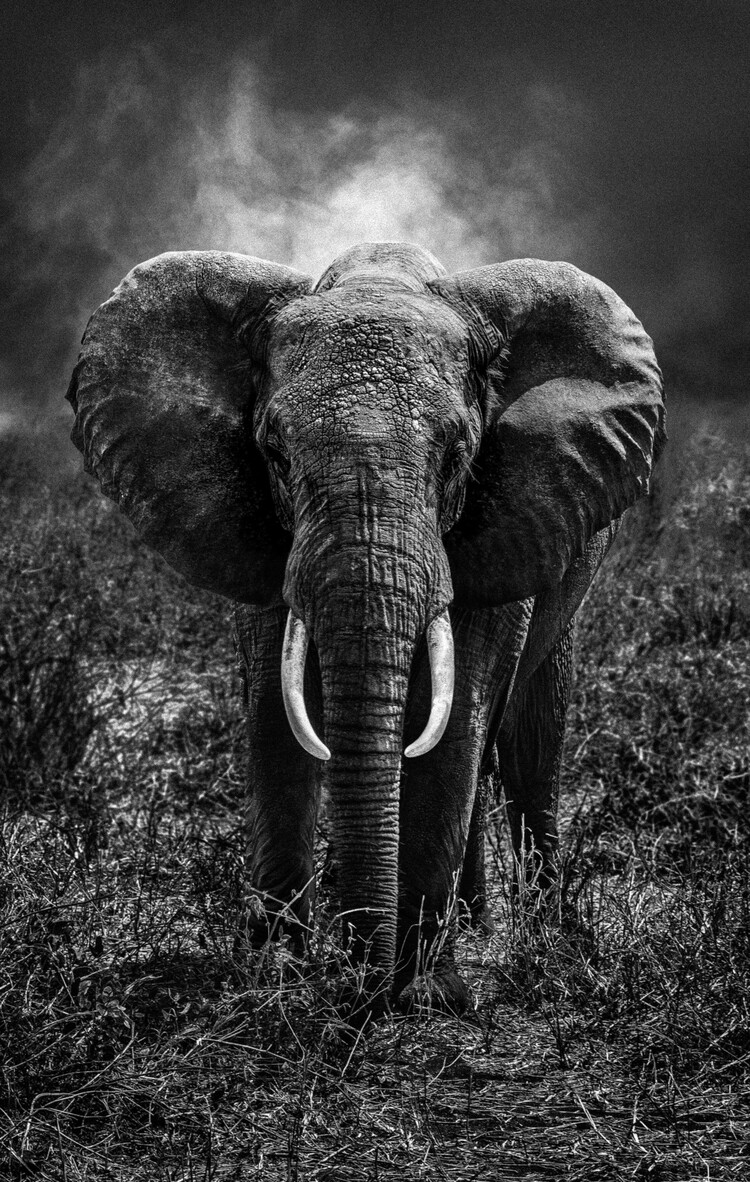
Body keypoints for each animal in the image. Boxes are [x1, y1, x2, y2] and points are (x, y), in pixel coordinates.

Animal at [66, 241, 664, 1017]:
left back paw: (543, 938)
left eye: (458, 457)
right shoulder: (265, 539)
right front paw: (278, 977)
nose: (359, 986)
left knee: (528, 735)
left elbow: (457, 719)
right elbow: (273, 714)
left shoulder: (500, 524)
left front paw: (427, 993)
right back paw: (474, 921)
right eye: (275, 454)